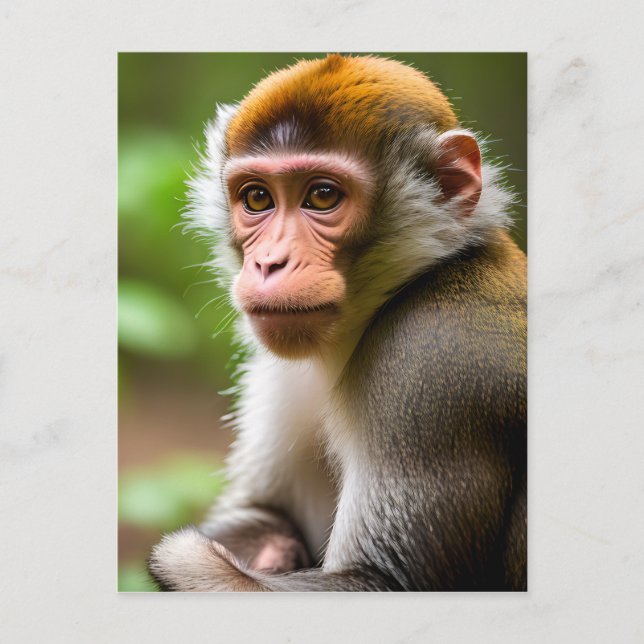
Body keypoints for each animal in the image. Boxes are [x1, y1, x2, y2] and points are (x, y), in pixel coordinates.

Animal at [148, 54, 527, 592]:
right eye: (257, 198)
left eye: (323, 196)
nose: (269, 263)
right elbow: (268, 512)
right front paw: (266, 543)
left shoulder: (432, 359)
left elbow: (378, 580)